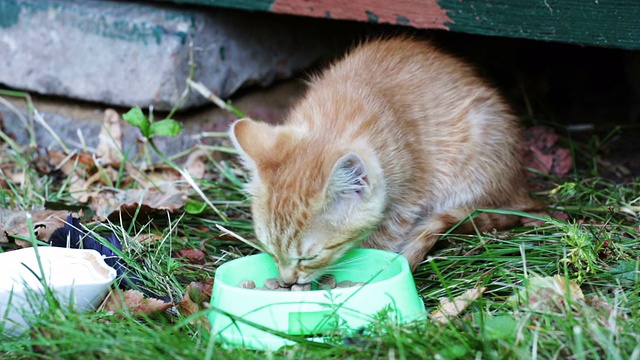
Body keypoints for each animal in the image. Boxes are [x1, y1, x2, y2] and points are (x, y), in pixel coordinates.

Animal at [230, 36, 536, 284]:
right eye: (270, 249)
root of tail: (521, 187)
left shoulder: (409, 198)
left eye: (309, 257)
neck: (333, 121)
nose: (287, 281)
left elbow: (383, 239)